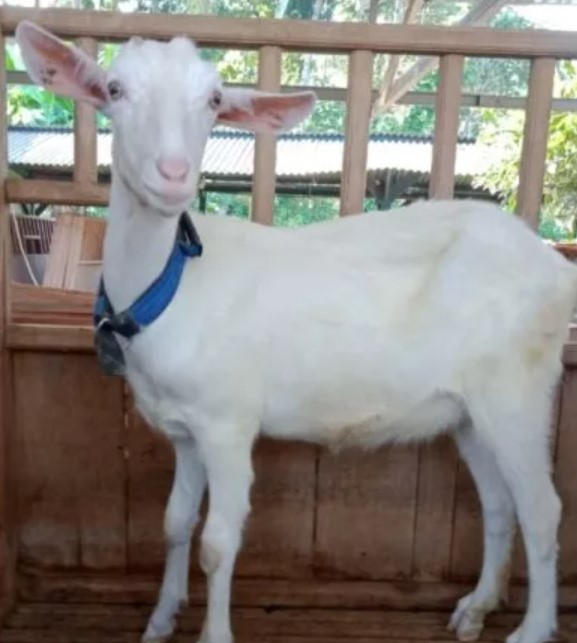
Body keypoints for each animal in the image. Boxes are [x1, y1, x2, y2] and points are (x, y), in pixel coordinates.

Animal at [15, 19, 577, 643]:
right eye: (114, 90)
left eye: (214, 101)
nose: (173, 175)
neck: (171, 284)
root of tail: (554, 265)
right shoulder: (184, 428)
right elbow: (174, 522)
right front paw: (161, 619)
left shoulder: (228, 421)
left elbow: (217, 543)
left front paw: (213, 633)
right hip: (469, 411)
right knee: (501, 505)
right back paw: (476, 608)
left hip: (517, 390)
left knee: (543, 509)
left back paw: (532, 629)